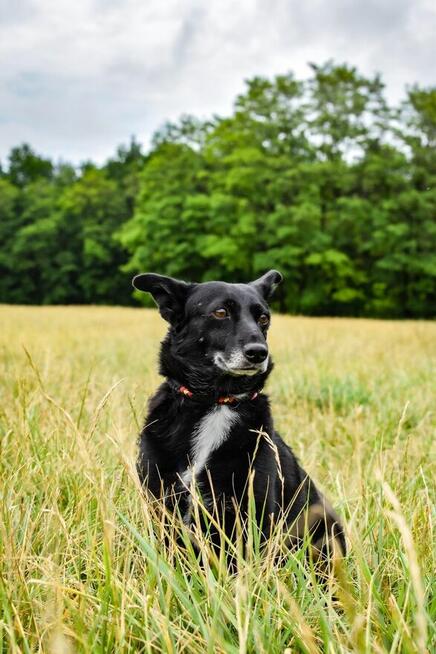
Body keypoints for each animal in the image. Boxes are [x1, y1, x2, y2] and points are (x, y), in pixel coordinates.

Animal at [133, 270, 344, 564]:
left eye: (263, 318)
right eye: (220, 312)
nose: (258, 352)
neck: (217, 401)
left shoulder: (255, 512)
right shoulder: (161, 504)